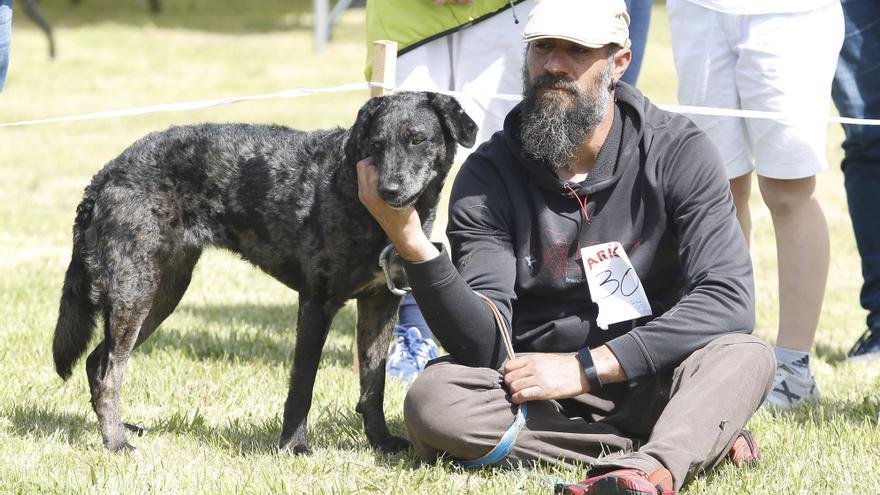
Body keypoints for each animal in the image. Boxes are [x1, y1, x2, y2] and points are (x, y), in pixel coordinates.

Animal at [51, 92, 478, 454]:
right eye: (376, 145)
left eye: (416, 139)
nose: (388, 189)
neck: (354, 195)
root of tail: (106, 174)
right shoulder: (317, 302)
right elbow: (303, 382)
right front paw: (294, 446)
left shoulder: (380, 302)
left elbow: (374, 384)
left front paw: (381, 443)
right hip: (135, 290)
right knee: (109, 372)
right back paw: (116, 444)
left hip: (162, 293)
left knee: (97, 362)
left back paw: (121, 430)